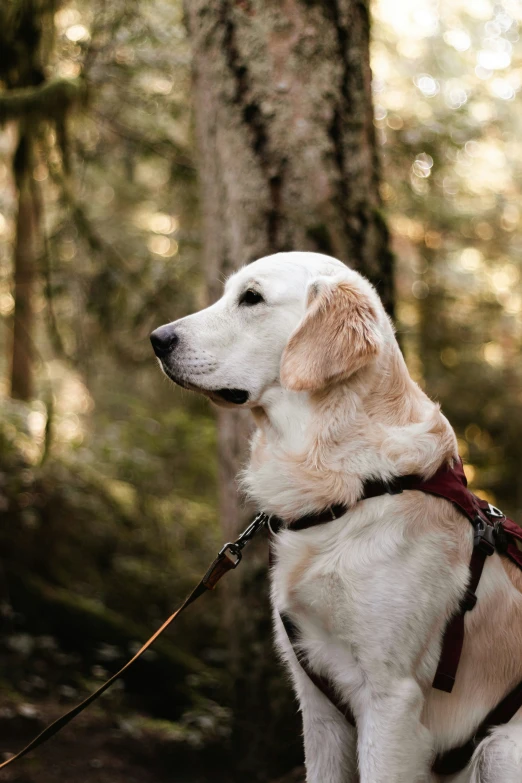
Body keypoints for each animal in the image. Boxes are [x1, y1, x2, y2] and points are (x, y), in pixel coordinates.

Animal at [149, 253, 520, 783]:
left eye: (251, 298)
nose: (156, 339)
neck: (352, 485)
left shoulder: (390, 700)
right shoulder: (316, 699)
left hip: (501, 746)